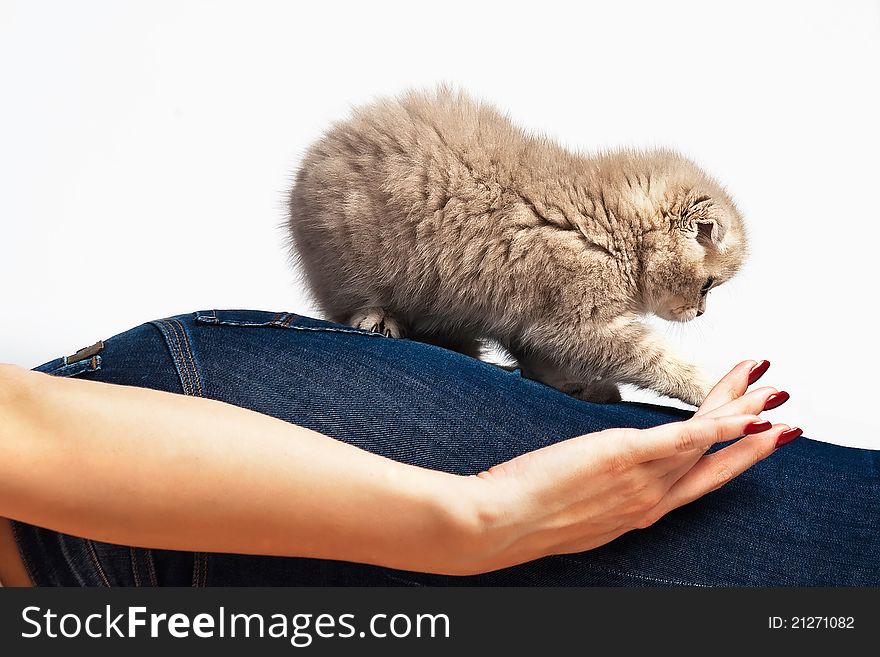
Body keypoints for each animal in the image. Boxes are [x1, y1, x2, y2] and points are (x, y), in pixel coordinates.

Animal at [286, 87, 744, 404]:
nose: (700, 312)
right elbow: (651, 356)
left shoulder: (532, 317)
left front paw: (577, 386)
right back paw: (379, 317)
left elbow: (540, 357)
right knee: (348, 303)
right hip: (354, 259)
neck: (612, 233)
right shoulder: (576, 319)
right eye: (707, 286)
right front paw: (708, 386)